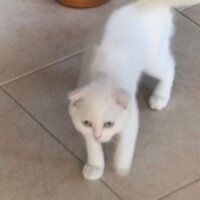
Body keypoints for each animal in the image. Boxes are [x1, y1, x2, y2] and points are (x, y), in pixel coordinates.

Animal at [67, 0, 200, 180]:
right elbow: (92, 147)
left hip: (153, 60)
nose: (98, 136)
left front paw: (121, 168)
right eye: (87, 123)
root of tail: (147, 4)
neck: (104, 77)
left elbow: (125, 145)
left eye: (109, 124)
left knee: (169, 68)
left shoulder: (131, 118)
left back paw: (160, 96)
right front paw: (95, 166)